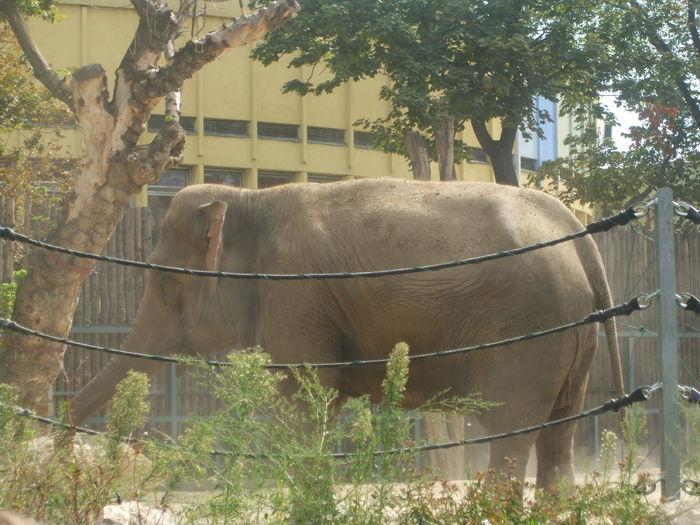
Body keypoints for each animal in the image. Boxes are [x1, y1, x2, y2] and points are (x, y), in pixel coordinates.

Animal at [67, 176, 624, 488]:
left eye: (163, 281)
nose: (62, 438)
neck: (249, 199)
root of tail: (580, 237)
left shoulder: (296, 295)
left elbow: (306, 406)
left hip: (531, 336)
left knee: (511, 439)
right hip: (573, 340)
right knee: (559, 442)